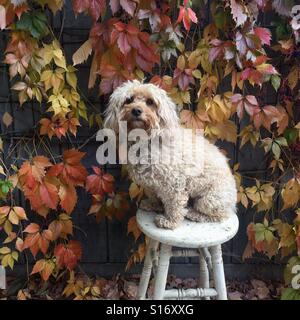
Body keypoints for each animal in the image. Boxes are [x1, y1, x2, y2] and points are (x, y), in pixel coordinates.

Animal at [104, 80, 238, 230]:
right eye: (129, 100)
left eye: (150, 102)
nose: (136, 110)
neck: (146, 141)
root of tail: (233, 202)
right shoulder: (151, 183)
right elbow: (153, 195)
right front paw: (152, 205)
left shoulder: (175, 181)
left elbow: (174, 204)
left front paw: (170, 221)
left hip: (210, 200)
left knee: (219, 216)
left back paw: (194, 214)